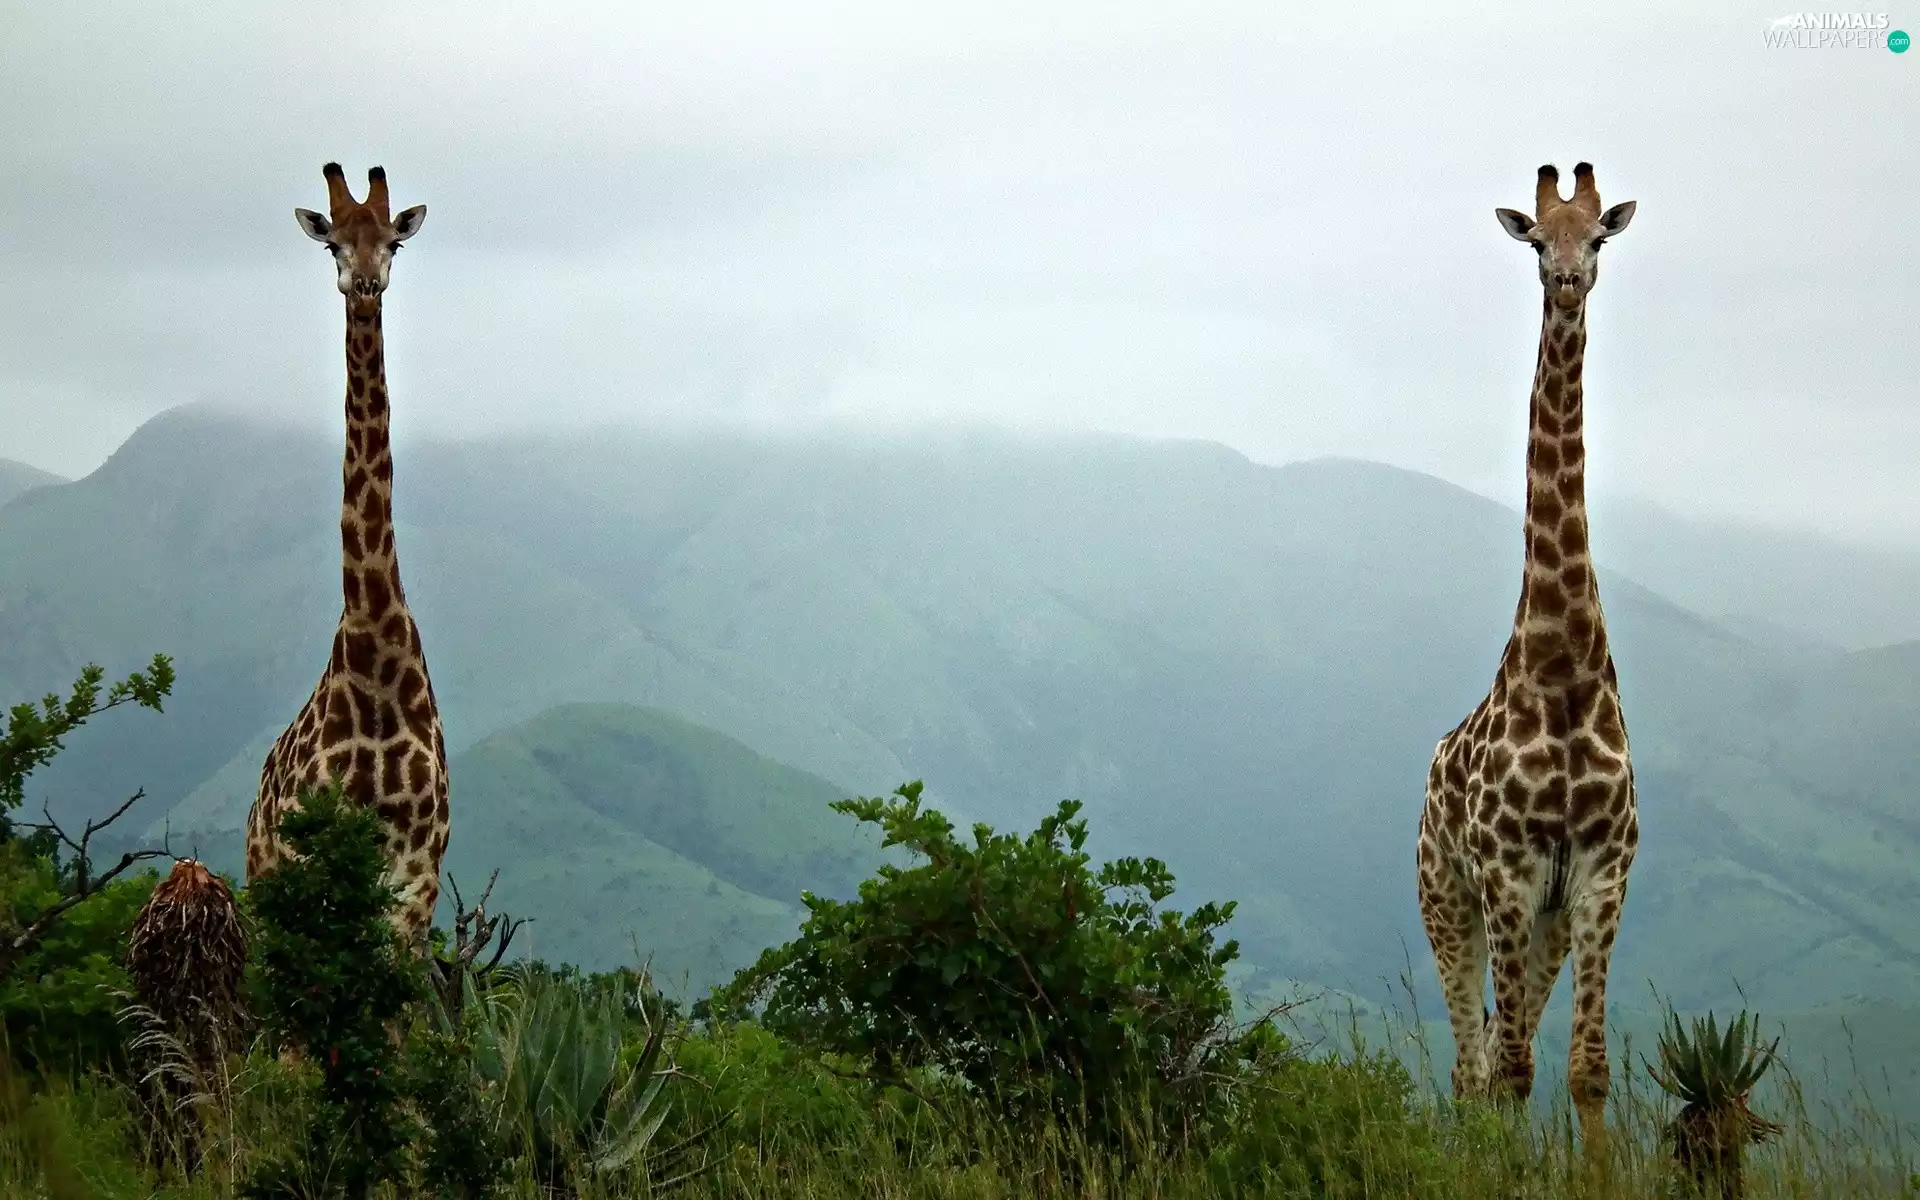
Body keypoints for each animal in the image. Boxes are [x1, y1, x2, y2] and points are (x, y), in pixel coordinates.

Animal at [245, 163, 448, 948]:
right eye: (332, 242)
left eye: (394, 241)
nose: (364, 282)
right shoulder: (313, 862)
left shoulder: (416, 878)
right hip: (261, 877)